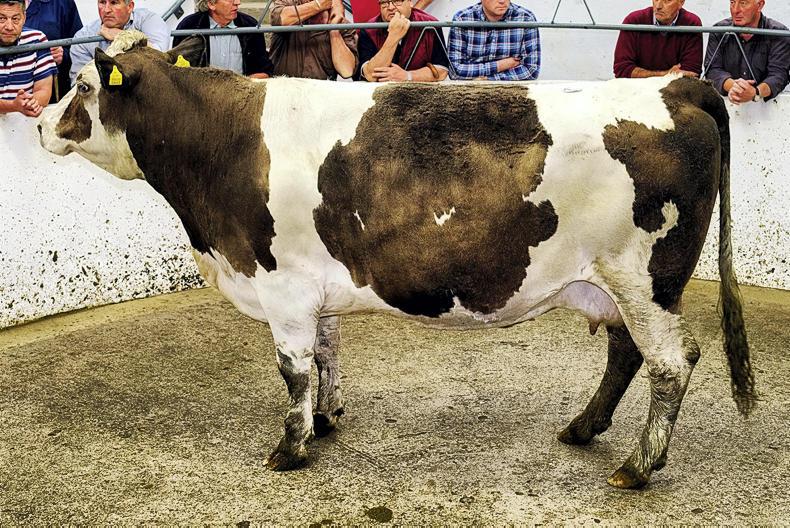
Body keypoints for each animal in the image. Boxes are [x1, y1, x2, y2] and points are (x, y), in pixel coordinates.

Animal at [38, 30, 756, 489]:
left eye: (81, 85)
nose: (40, 124)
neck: (223, 142)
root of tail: (678, 86)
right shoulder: (315, 285)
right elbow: (326, 354)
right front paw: (326, 421)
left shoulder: (283, 286)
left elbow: (292, 369)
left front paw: (290, 447)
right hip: (616, 283)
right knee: (627, 353)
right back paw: (584, 428)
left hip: (642, 277)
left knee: (671, 362)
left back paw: (638, 466)